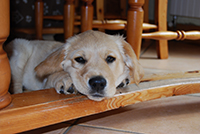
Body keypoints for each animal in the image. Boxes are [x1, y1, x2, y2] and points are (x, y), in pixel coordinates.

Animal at [4, 30, 144, 101]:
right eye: (79, 59)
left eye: (110, 58)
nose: (98, 83)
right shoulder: (45, 83)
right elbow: (57, 74)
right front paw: (66, 79)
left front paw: (123, 80)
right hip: (20, 51)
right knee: (16, 87)